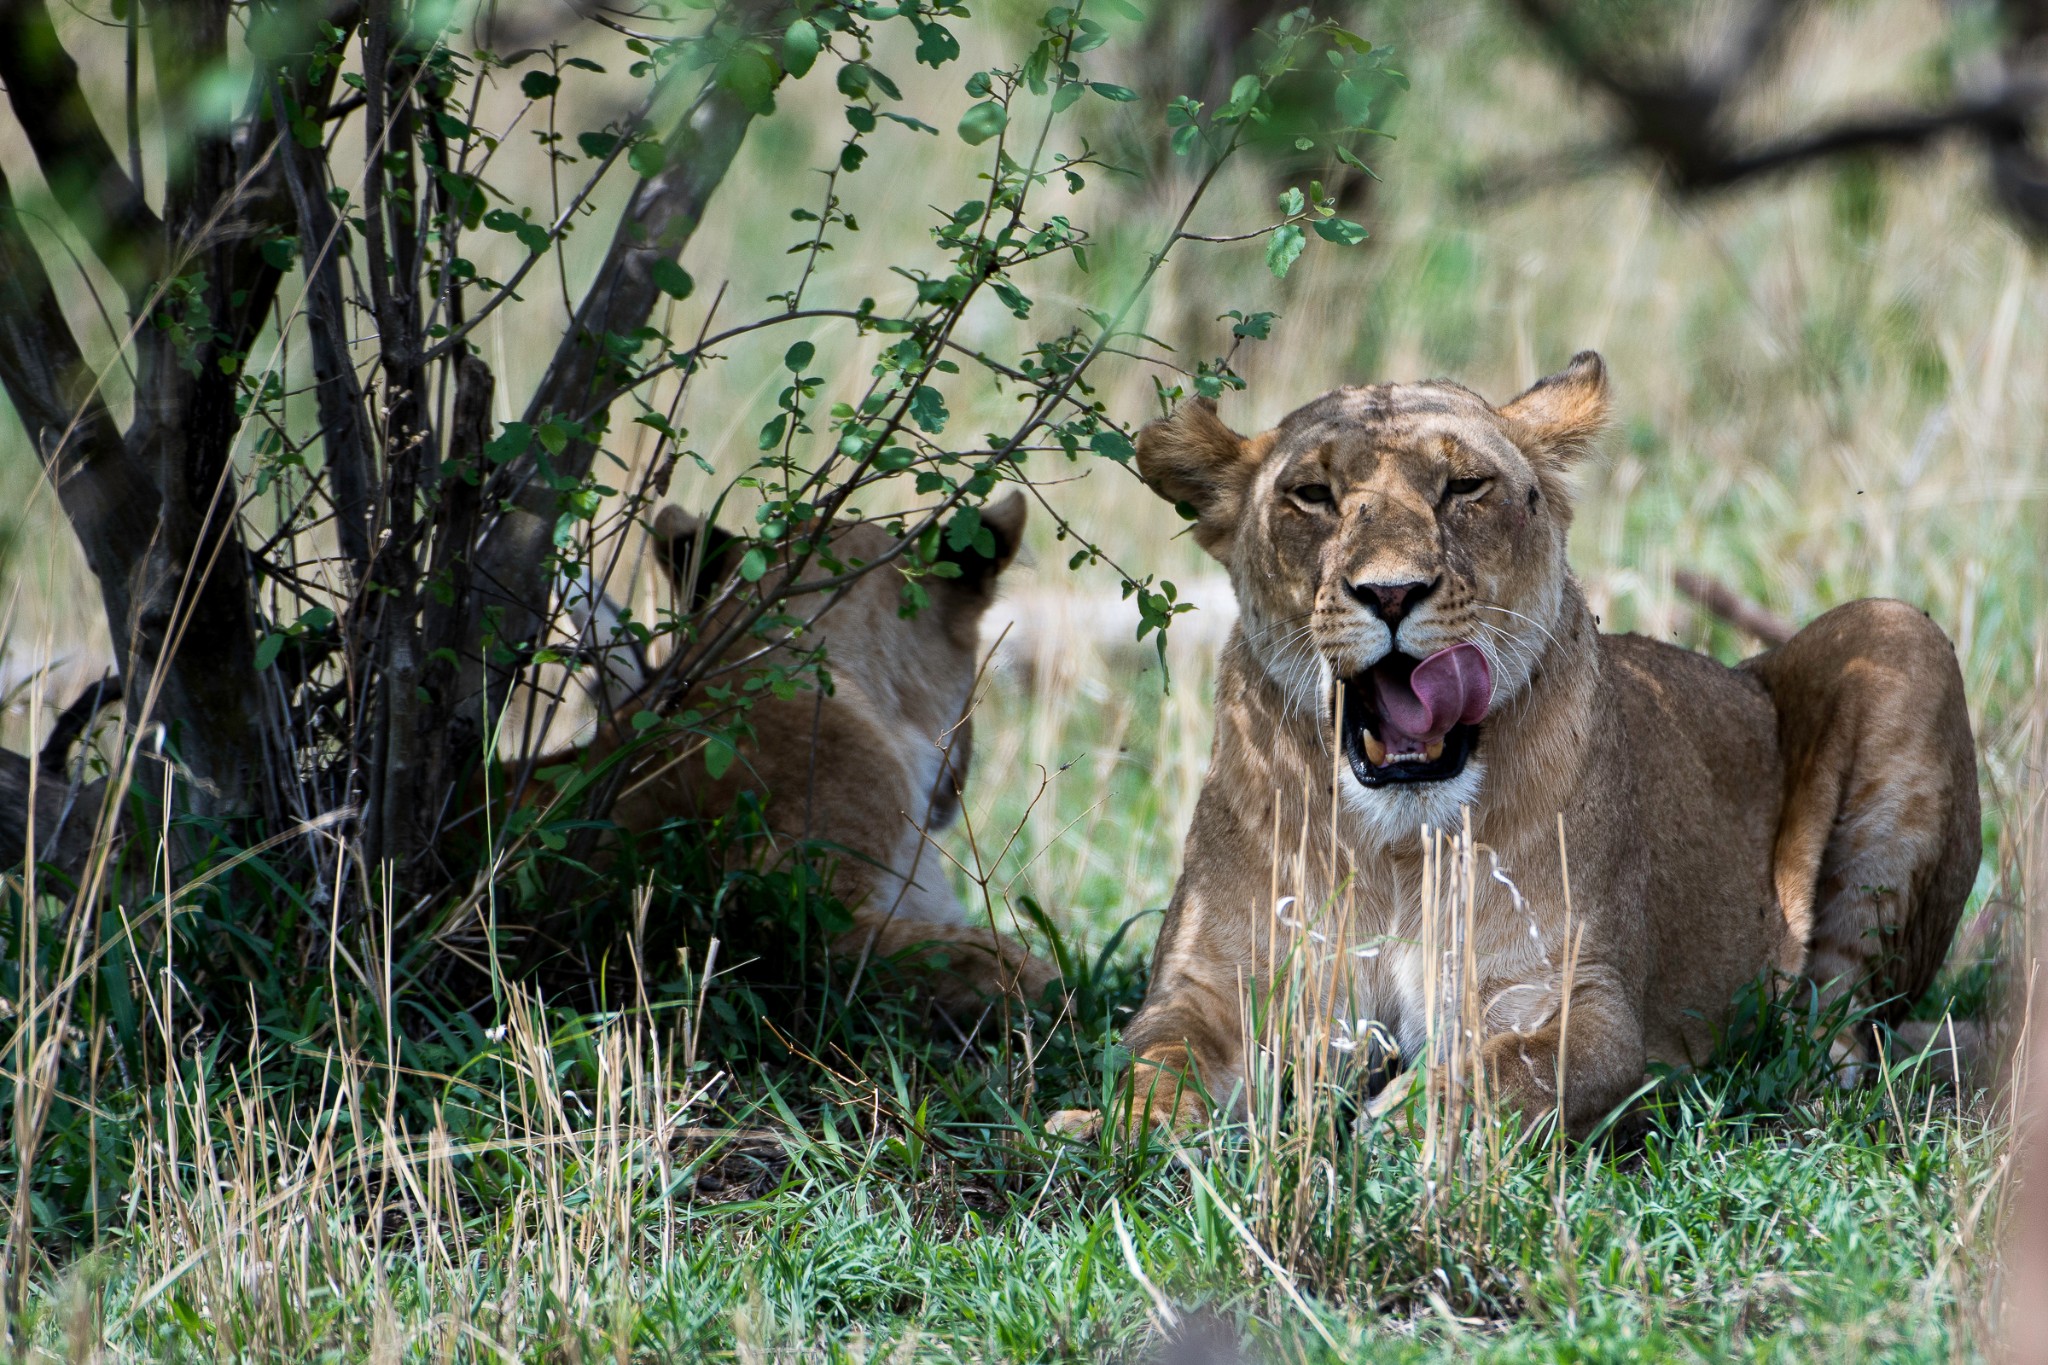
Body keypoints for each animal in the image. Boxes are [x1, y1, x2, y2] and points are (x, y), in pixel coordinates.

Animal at [1048, 356, 1974, 1146]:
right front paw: (1113, 1128)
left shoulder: (1574, 995)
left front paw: (1401, 1121)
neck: (1397, 845)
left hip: (1901, 634)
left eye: (1464, 486)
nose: (1391, 592)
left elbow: (1512, 1069)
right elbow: (1154, 1060)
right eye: (1312, 495)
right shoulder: (1213, 983)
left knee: (1844, 1022)